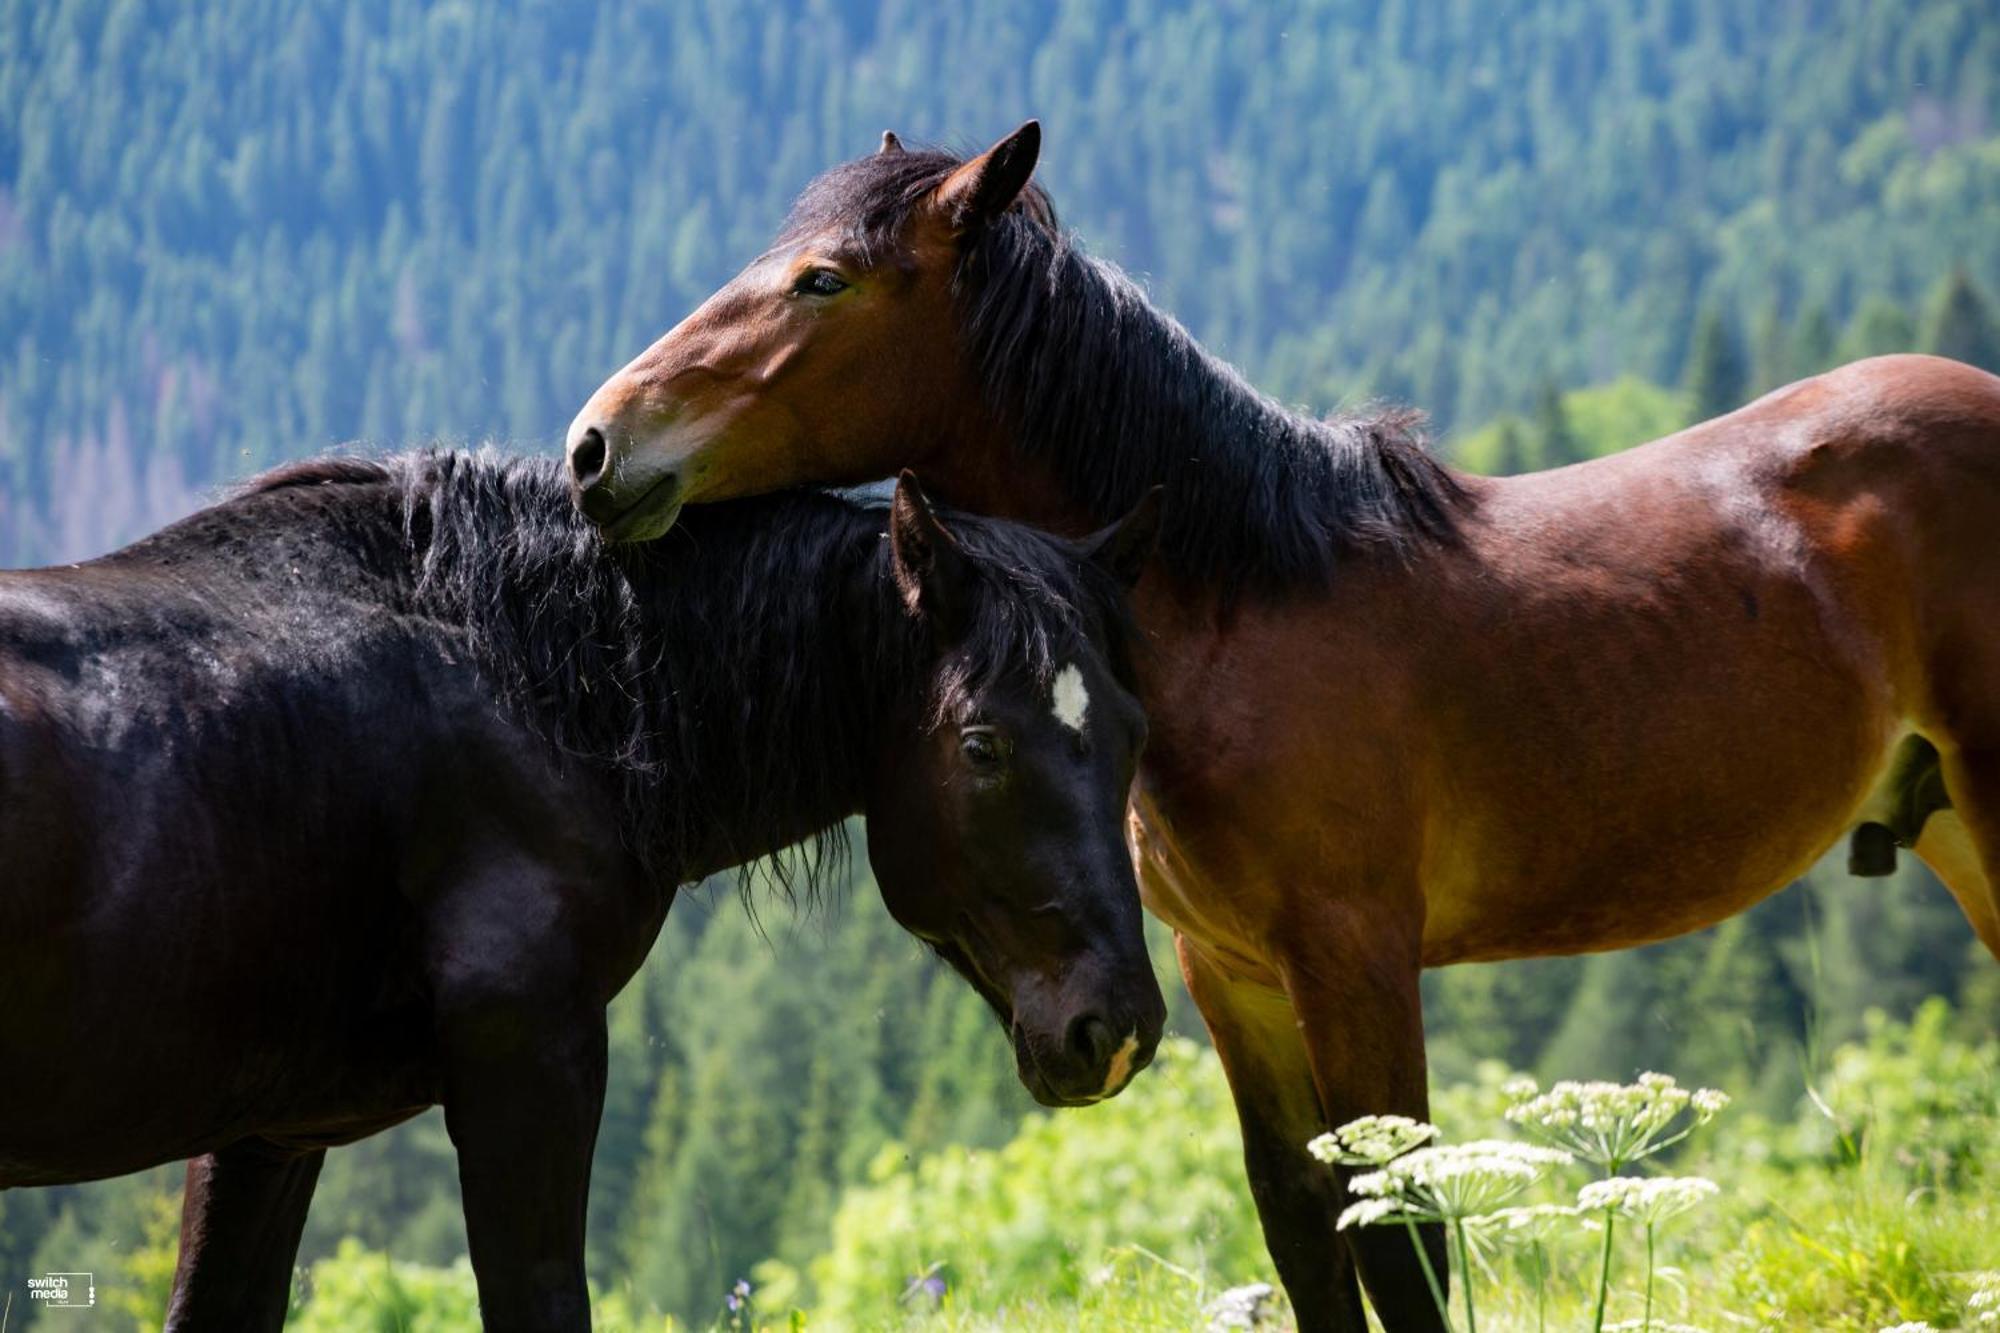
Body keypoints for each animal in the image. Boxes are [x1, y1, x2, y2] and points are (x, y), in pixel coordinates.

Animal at [0, 452, 1168, 1320]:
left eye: (1131, 732)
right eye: (982, 745)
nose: (1116, 1026)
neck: (529, 683)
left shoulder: (264, 1131)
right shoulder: (530, 1064)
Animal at [560, 122, 2000, 1320]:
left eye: (821, 282)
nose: (594, 447)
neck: (1240, 608)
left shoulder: (1354, 959)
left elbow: (1399, 1236)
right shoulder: (1230, 975)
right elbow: (1304, 1230)